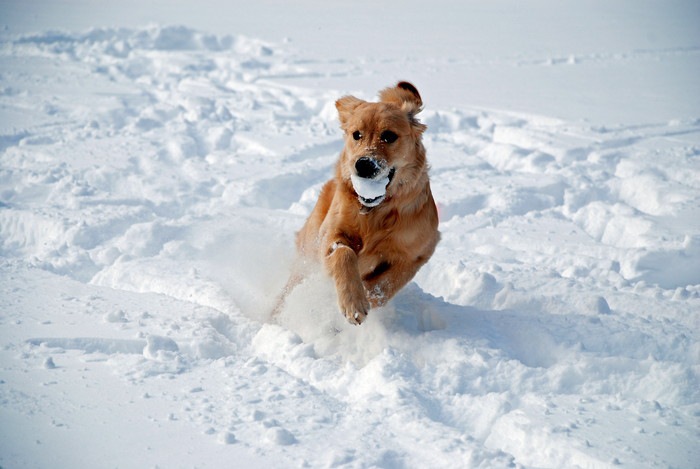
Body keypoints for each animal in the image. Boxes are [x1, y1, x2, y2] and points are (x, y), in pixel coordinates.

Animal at [276, 81, 440, 322]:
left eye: (389, 136)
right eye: (357, 135)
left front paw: (367, 299)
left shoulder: (418, 253)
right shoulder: (329, 238)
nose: (364, 164)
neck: (374, 213)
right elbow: (344, 254)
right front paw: (353, 302)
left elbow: (388, 283)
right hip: (306, 258)